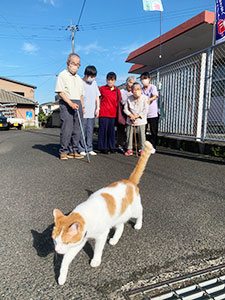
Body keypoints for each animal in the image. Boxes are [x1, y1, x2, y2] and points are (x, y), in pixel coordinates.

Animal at [51, 139, 153, 284]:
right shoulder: (79, 242)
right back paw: (114, 240)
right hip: (118, 216)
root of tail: (129, 181)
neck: (86, 216)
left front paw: (95, 260)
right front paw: (61, 277)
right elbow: (65, 261)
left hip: (134, 209)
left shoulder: (101, 235)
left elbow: (98, 249)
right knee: (120, 227)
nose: (57, 250)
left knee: (140, 213)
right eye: (55, 240)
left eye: (65, 242)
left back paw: (138, 225)